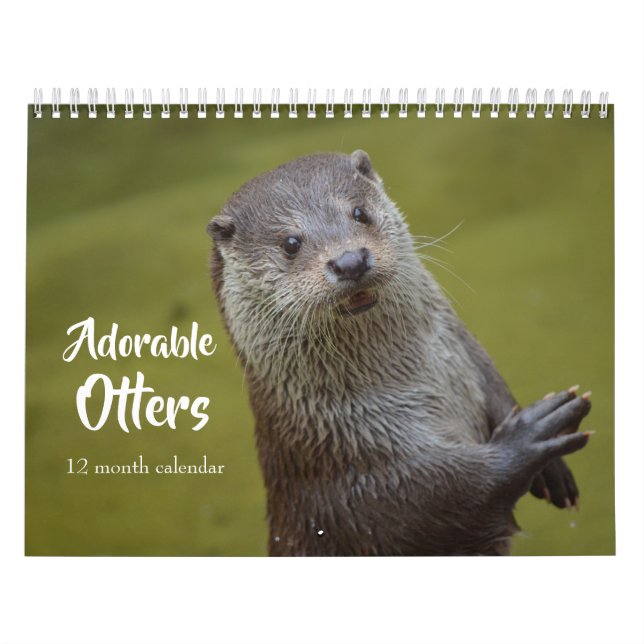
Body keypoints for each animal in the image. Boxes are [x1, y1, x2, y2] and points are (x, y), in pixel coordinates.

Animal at [207, 150, 591, 556]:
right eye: (290, 243)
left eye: (359, 213)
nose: (349, 261)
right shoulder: (361, 481)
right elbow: (443, 498)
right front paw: (532, 435)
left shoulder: (469, 354)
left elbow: (495, 385)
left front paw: (552, 468)